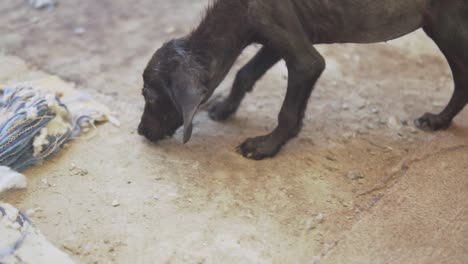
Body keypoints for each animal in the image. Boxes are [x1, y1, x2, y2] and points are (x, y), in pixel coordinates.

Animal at [139, 0, 468, 160]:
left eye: (150, 97)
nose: (140, 131)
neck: (239, 10)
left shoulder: (305, 59)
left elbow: (285, 110)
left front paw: (267, 146)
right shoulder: (280, 42)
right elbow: (245, 74)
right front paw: (226, 108)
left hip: (447, 27)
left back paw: (439, 119)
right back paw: (439, 121)